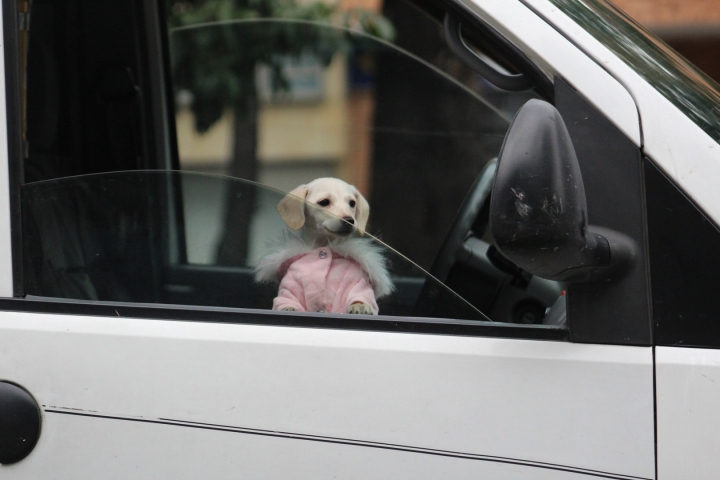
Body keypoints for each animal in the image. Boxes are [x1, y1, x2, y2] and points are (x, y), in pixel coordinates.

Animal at [256, 177, 394, 316]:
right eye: (324, 202)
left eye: (352, 203)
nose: (349, 220)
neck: (325, 244)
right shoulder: (291, 285)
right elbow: (288, 298)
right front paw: (287, 308)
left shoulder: (360, 282)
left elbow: (361, 294)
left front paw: (360, 305)